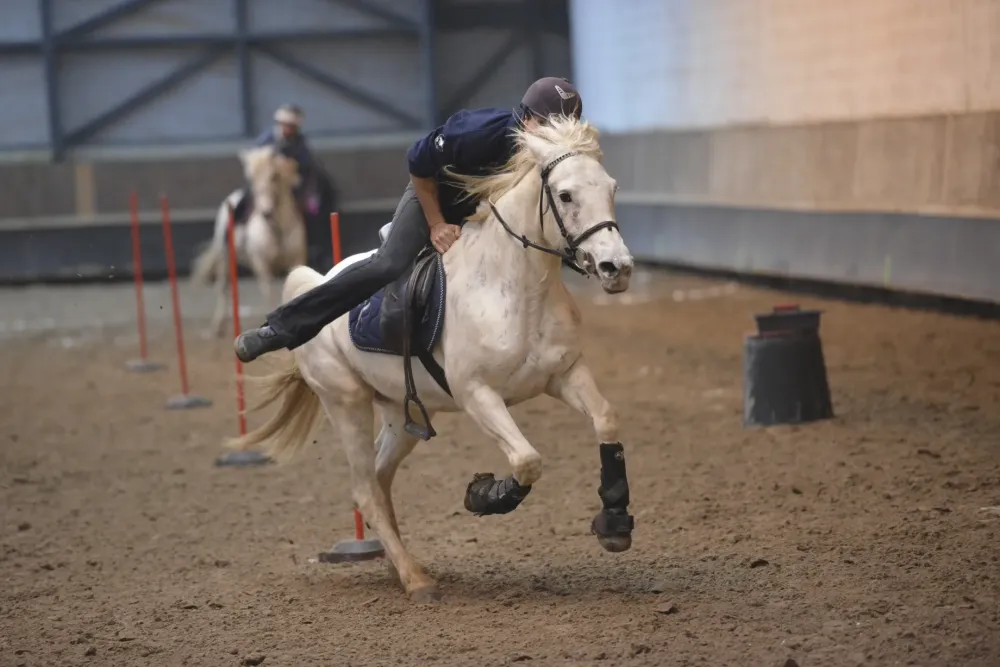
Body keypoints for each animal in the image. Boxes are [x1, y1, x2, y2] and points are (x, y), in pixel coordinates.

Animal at [191, 145, 307, 337]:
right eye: (252, 179)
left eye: (274, 176)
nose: (266, 213)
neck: (277, 228)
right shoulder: (262, 264)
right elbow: (268, 292)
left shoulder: (296, 260)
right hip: (224, 259)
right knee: (223, 288)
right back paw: (218, 326)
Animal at [226, 116, 636, 602]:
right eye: (566, 194)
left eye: (611, 187)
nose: (617, 267)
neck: (515, 287)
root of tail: (322, 276)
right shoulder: (477, 394)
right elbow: (526, 460)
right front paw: (484, 494)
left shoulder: (565, 374)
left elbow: (607, 419)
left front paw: (615, 523)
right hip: (345, 403)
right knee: (365, 489)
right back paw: (416, 579)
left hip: (397, 413)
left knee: (380, 479)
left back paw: (399, 566)